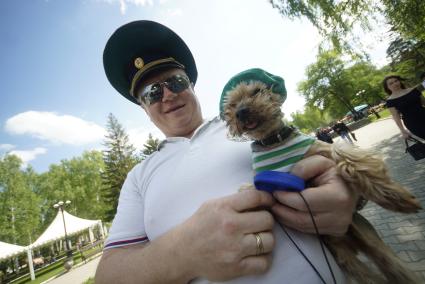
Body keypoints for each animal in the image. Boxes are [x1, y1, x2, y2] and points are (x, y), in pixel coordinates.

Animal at [220, 69, 420, 284]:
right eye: (232, 105)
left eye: (256, 91)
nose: (240, 112)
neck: (273, 141)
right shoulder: (264, 181)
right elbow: (251, 193)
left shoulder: (323, 149)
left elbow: (343, 154)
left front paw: (394, 195)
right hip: (345, 258)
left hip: (371, 242)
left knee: (393, 265)